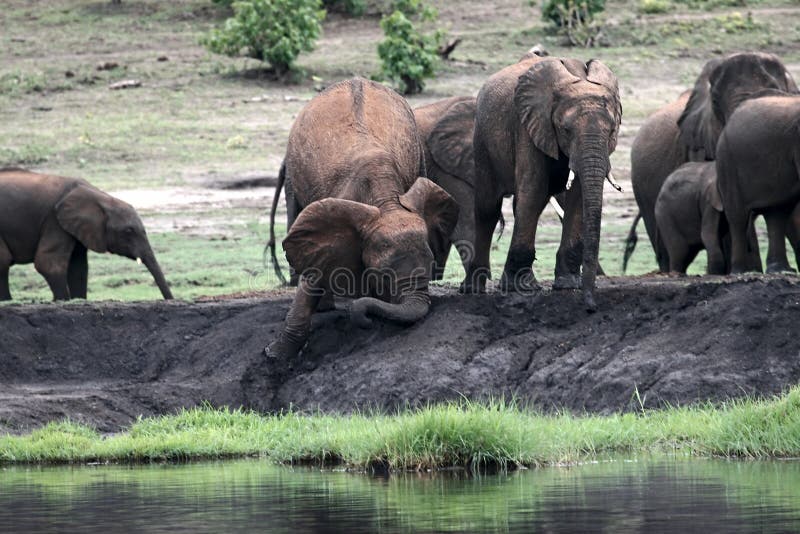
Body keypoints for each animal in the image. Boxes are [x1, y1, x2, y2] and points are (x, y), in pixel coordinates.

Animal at [0, 168, 173, 301]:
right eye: (128, 231)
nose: (170, 300)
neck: (100, 197)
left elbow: (78, 268)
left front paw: (78, 300)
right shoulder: (54, 221)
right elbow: (48, 263)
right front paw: (63, 301)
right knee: (4, 260)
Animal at [266, 78, 459, 359]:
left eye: (432, 262)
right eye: (383, 275)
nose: (366, 320)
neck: (387, 202)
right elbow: (314, 272)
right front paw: (275, 355)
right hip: (293, 171)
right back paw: (325, 308)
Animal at [463, 55, 622, 311]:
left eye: (611, 131)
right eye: (566, 130)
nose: (591, 306)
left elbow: (577, 196)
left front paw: (567, 285)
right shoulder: (528, 125)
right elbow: (534, 190)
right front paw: (521, 288)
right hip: (482, 139)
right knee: (487, 207)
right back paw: (472, 288)